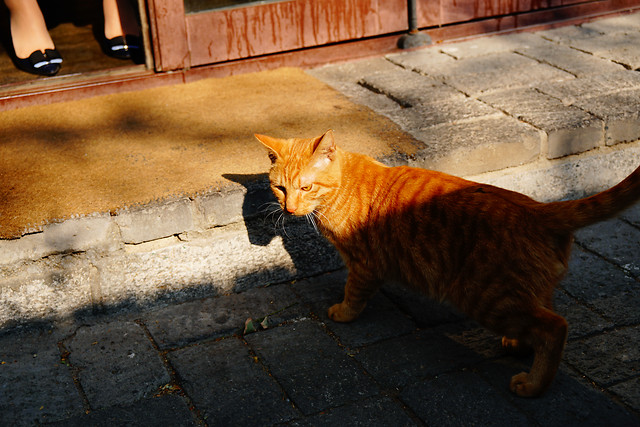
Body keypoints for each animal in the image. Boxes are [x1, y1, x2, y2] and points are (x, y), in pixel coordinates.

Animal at [255, 130, 640, 398]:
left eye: (306, 187)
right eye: (280, 188)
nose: (289, 209)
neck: (342, 185)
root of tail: (538, 209)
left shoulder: (364, 265)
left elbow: (354, 294)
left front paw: (344, 312)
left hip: (486, 297)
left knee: (555, 327)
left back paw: (532, 385)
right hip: (518, 294)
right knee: (542, 316)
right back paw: (517, 346)